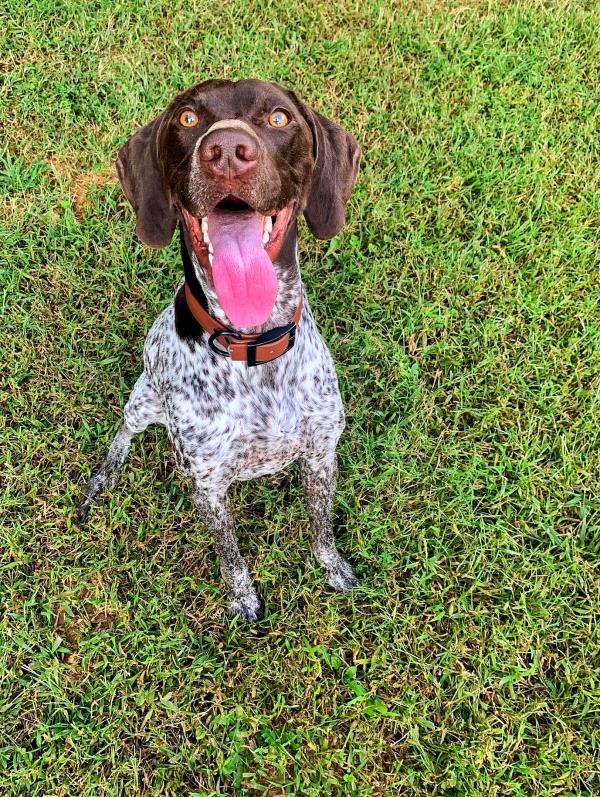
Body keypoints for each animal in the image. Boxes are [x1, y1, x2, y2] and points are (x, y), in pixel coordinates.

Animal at [79, 77, 360, 620]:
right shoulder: (207, 485)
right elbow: (230, 553)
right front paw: (244, 598)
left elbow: (321, 526)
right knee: (123, 433)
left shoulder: (321, 454)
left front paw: (333, 567)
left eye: (278, 117)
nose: (227, 150)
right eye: (188, 119)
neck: (254, 345)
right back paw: (103, 477)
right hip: (143, 398)